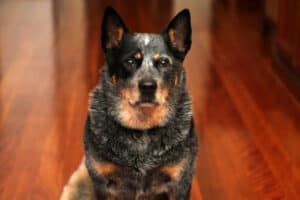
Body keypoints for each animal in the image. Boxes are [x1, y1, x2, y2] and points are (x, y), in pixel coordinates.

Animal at [59, 6, 198, 200]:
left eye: (164, 62)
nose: (148, 86)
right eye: (130, 61)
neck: (142, 130)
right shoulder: (102, 183)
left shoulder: (180, 181)